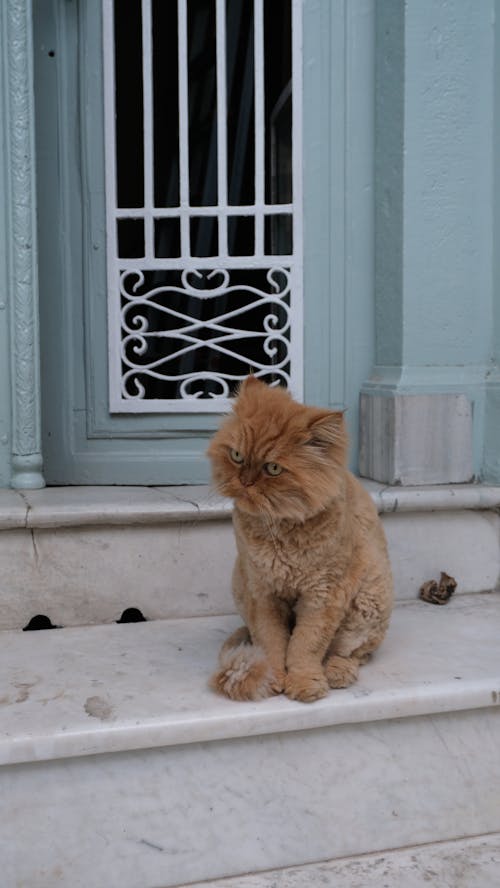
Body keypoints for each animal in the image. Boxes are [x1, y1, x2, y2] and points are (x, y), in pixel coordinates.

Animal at [205, 374, 392, 700]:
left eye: (273, 468)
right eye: (237, 456)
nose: (245, 482)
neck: (279, 529)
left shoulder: (323, 595)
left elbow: (306, 646)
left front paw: (305, 683)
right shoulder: (262, 593)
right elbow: (272, 643)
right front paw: (273, 678)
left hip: (370, 601)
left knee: (353, 653)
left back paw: (338, 673)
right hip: (239, 585)